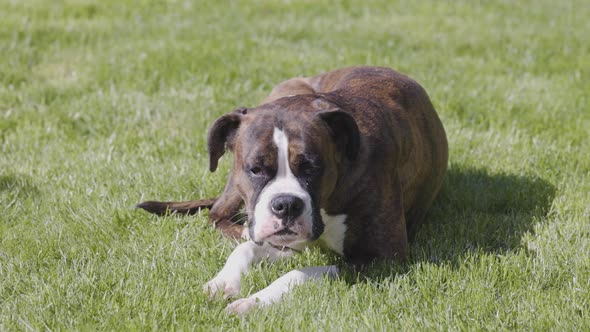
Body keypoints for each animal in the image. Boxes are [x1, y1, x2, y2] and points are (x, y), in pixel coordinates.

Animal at [138, 66, 448, 316]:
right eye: (256, 169)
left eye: (311, 167)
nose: (285, 204)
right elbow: (246, 248)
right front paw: (224, 281)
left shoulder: (384, 259)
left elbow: (299, 274)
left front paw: (253, 302)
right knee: (217, 216)